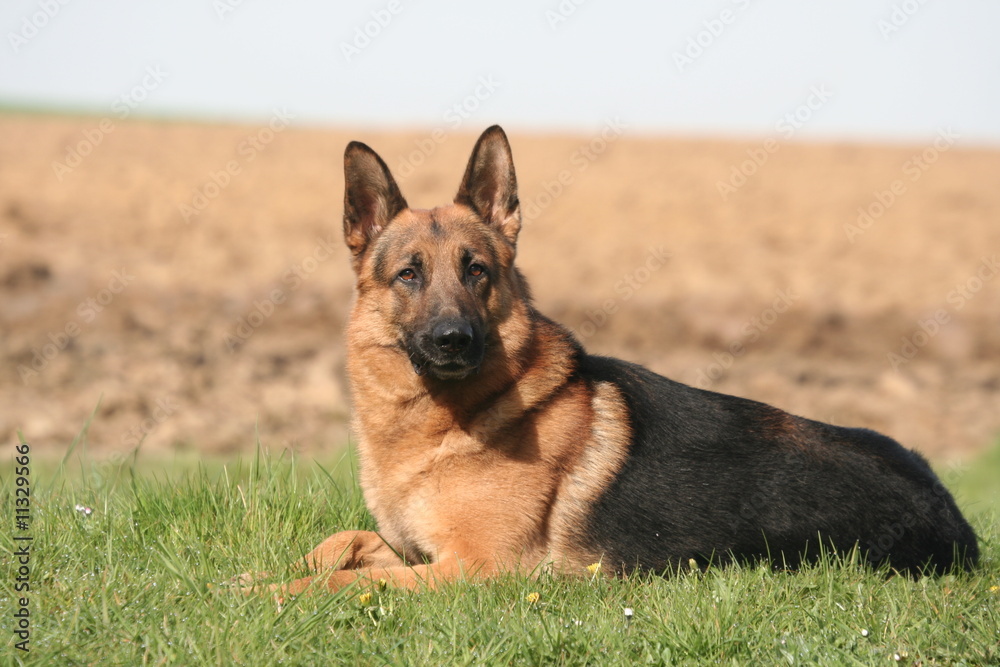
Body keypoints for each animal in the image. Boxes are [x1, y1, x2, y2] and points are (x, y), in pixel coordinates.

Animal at [270, 125, 972, 596]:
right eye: (409, 275)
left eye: (477, 271)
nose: (452, 340)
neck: (444, 425)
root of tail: (950, 509)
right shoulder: (413, 550)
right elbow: (338, 544)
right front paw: (261, 575)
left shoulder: (477, 568)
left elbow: (347, 583)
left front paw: (276, 596)